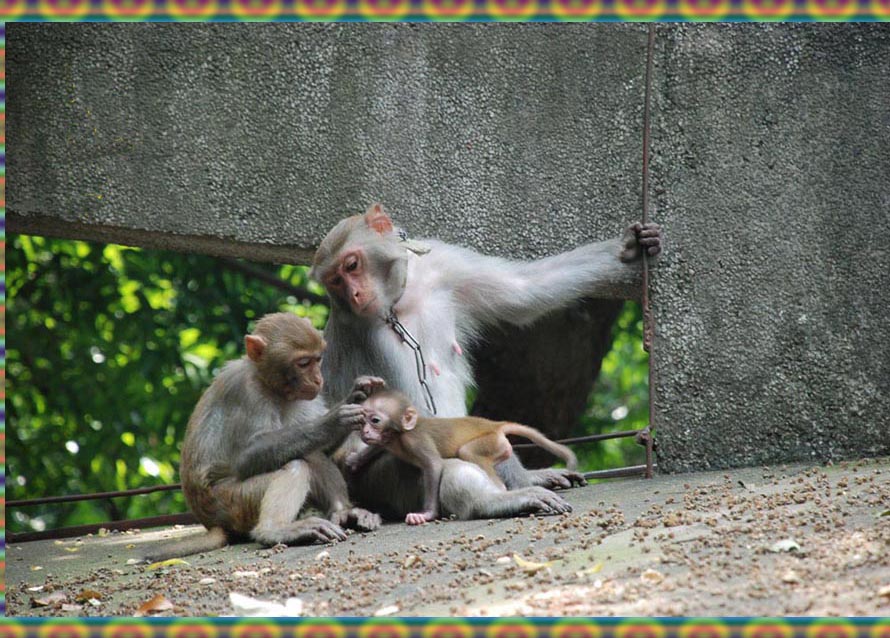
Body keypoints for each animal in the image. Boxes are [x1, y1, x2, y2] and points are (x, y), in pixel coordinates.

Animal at [144, 312, 380, 564]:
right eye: (303, 363)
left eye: (318, 359)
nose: (318, 379)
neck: (268, 383)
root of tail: (211, 522)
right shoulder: (247, 393)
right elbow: (247, 458)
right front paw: (334, 420)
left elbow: (322, 449)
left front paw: (356, 395)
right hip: (232, 502)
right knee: (296, 463)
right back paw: (274, 530)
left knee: (309, 452)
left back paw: (343, 511)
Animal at [346, 388, 576, 528]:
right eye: (363, 420)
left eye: (375, 420)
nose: (365, 431)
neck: (397, 436)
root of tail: (495, 424)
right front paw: (356, 460)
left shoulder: (414, 440)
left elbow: (433, 465)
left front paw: (427, 514)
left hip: (489, 442)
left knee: (466, 456)